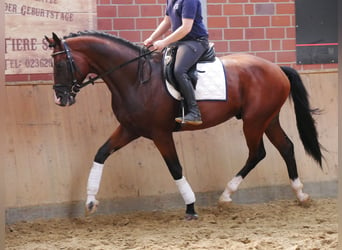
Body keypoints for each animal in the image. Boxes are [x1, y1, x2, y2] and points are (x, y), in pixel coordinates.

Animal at [44, 31, 320, 221]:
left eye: (61, 64)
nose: (59, 99)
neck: (135, 79)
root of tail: (276, 68)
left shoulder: (160, 134)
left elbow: (175, 168)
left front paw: (191, 207)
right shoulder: (130, 129)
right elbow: (101, 153)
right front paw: (90, 202)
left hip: (254, 122)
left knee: (257, 153)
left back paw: (226, 196)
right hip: (267, 119)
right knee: (286, 147)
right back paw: (301, 195)